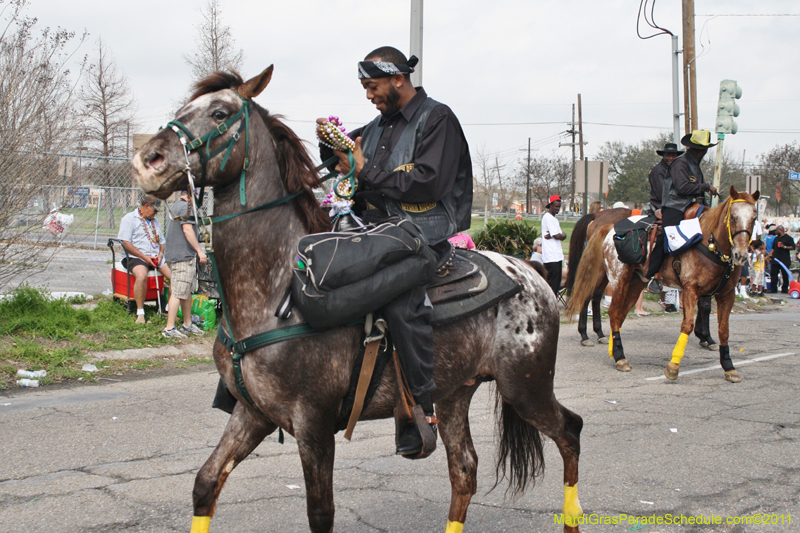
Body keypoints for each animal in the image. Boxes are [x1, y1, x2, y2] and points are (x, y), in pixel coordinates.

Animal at [130, 66, 580, 532]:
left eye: (219, 112)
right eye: (183, 108)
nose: (147, 161)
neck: (275, 290)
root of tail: (533, 276)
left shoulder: (313, 423)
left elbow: (320, 512)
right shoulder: (253, 414)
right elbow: (205, 484)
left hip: (526, 388)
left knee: (570, 432)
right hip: (456, 393)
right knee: (465, 470)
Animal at [564, 185, 760, 380]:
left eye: (754, 217)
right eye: (733, 217)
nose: (741, 254)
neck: (709, 243)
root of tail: (608, 226)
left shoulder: (726, 294)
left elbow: (723, 330)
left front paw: (728, 366)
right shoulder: (691, 290)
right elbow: (688, 324)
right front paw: (675, 365)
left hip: (635, 282)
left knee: (616, 312)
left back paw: (610, 347)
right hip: (614, 277)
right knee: (605, 307)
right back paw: (615, 354)